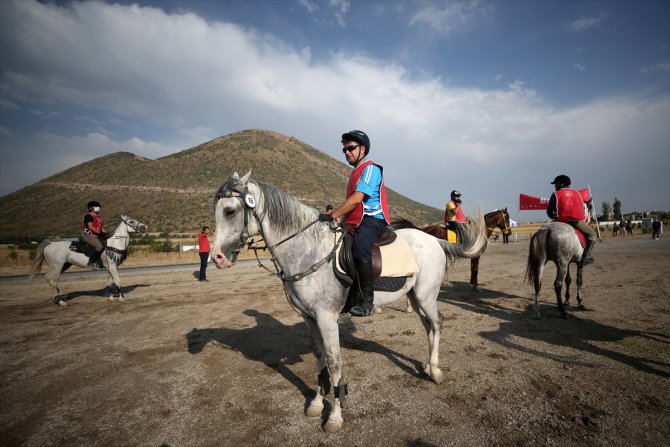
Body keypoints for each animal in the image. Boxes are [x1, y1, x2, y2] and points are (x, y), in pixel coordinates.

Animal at [210, 172, 488, 434]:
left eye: (230, 210)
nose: (217, 258)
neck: (308, 250)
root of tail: (435, 240)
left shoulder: (326, 318)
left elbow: (334, 364)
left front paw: (335, 416)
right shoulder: (309, 318)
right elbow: (319, 358)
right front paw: (316, 403)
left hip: (426, 295)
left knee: (438, 323)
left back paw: (436, 372)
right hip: (415, 297)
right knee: (428, 327)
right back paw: (428, 367)